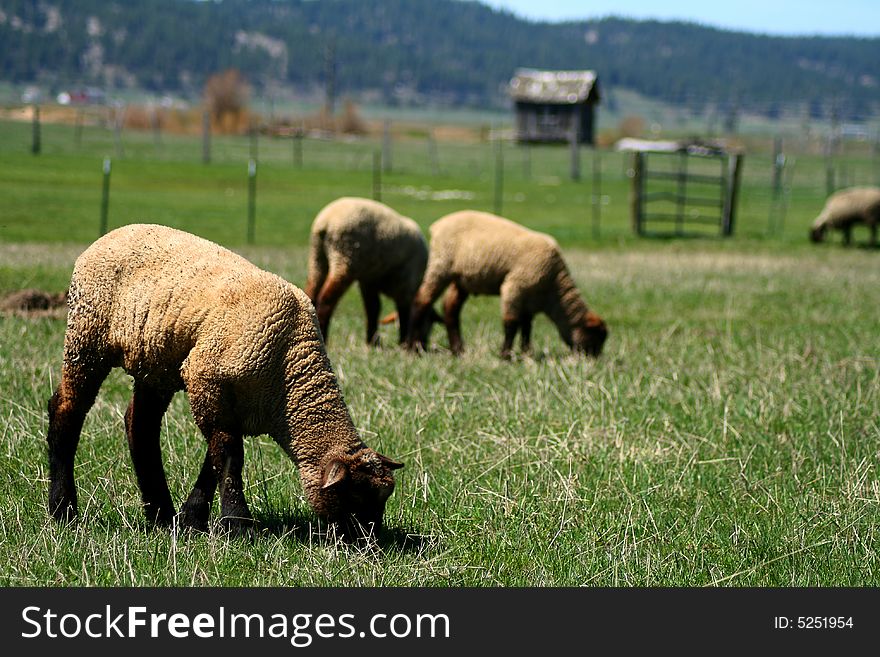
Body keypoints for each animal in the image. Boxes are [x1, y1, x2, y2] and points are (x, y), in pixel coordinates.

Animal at [46, 223, 404, 540]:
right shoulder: (205, 379)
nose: (372, 542)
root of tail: (106, 238)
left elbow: (215, 458)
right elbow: (230, 457)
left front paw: (192, 518)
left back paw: (161, 515)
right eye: (355, 497)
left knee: (140, 426)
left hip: (155, 363)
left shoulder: (234, 406)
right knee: (66, 410)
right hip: (87, 335)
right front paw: (238, 524)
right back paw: (63, 510)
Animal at [304, 197, 432, 346]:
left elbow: (373, 308)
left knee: (311, 292)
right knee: (327, 300)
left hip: (318, 259)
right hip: (345, 257)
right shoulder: (405, 283)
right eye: (427, 325)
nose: (422, 346)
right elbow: (403, 313)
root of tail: (325, 222)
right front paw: (403, 341)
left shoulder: (369, 281)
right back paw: (324, 336)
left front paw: (373, 341)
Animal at [408, 211, 608, 358]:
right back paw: (413, 348)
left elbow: (527, 326)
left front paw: (527, 353)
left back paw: (458, 350)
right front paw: (505, 356)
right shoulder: (515, 286)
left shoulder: (529, 300)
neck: (553, 291)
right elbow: (511, 323)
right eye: (595, 338)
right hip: (441, 265)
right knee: (422, 300)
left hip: (461, 278)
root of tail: (438, 225)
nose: (594, 359)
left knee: (451, 308)